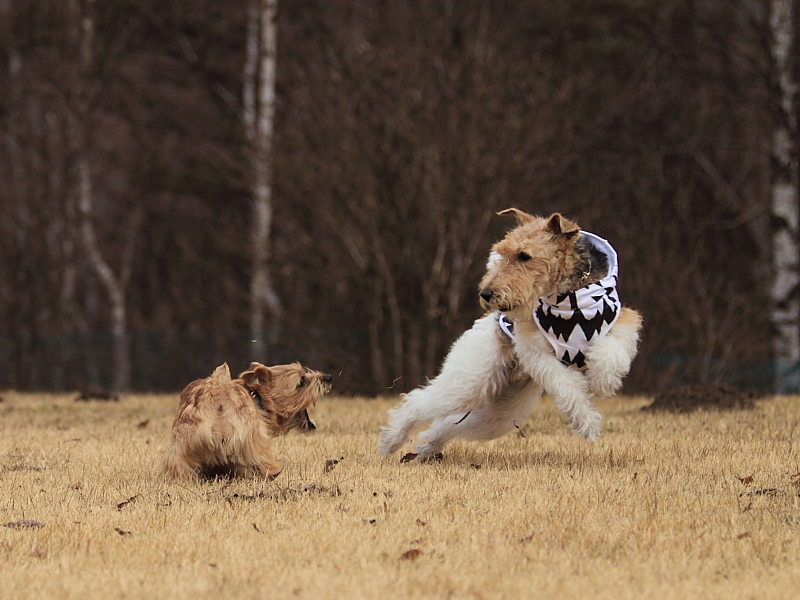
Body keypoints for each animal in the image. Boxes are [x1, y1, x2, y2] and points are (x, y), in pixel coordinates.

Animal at [380, 209, 644, 462]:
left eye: (524, 255)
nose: (486, 293)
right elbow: (566, 384)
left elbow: (612, 353)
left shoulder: (623, 322)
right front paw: (587, 422)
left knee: (447, 423)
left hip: (499, 410)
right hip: (468, 382)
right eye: (502, 253)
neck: (569, 302)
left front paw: (603, 382)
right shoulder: (535, 351)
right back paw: (389, 442)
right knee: (417, 401)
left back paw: (425, 449)